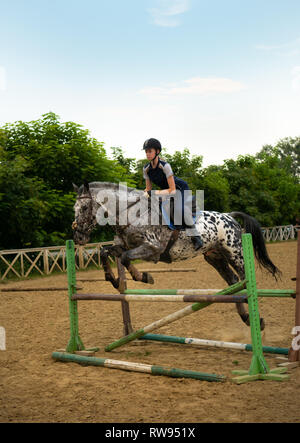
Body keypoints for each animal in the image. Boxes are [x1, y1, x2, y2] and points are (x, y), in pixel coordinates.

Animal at [71, 180, 280, 330]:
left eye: (84, 208)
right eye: (74, 209)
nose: (78, 237)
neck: (130, 213)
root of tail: (229, 216)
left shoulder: (153, 248)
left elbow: (124, 258)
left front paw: (142, 277)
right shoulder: (123, 246)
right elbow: (105, 252)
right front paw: (116, 280)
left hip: (235, 254)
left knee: (244, 280)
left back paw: (257, 319)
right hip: (214, 257)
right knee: (233, 281)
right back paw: (246, 317)